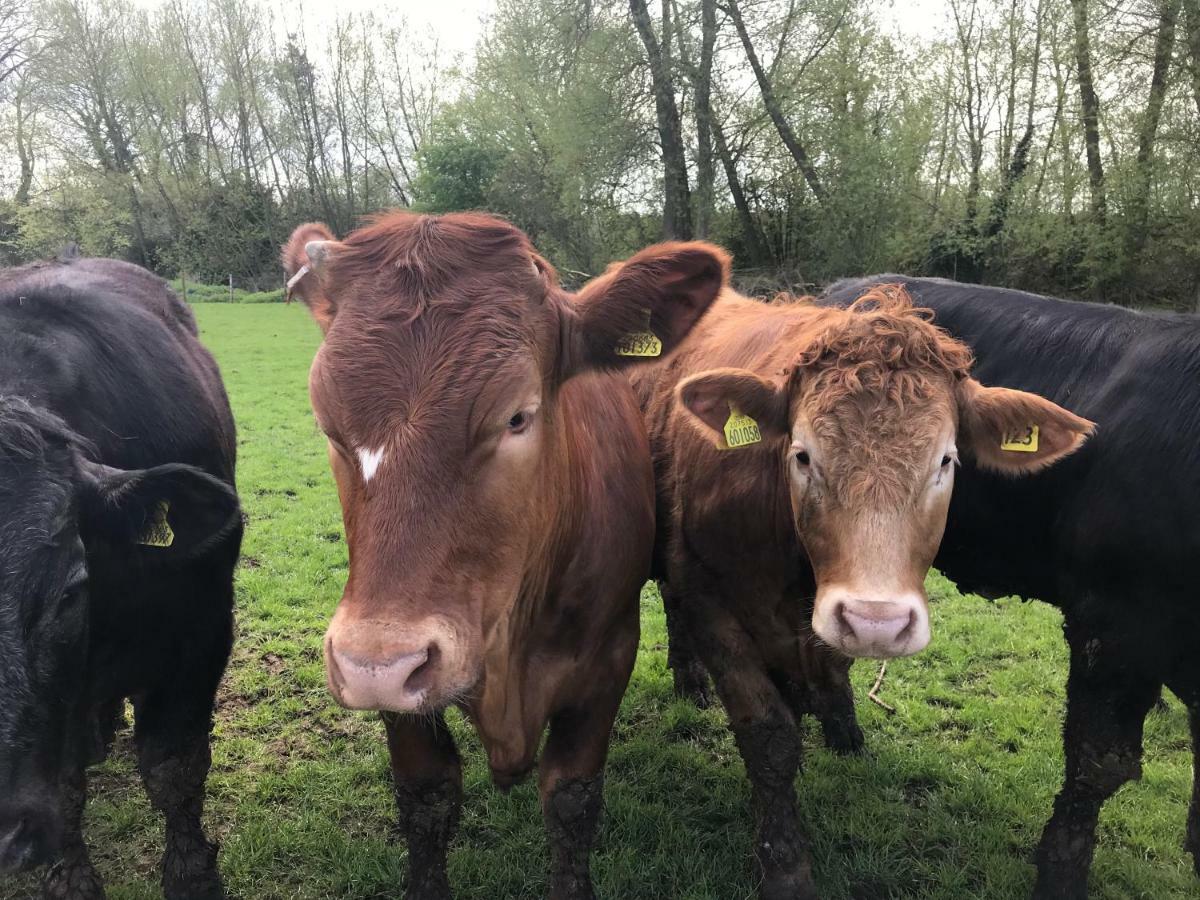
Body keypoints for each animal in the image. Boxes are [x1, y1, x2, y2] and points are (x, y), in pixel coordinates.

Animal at [0, 255, 243, 900]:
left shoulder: (199, 635)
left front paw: (191, 875)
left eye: (68, 591)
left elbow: (174, 768)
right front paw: (72, 881)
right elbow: (65, 790)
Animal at [284, 213, 724, 900]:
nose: (376, 665)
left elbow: (571, 799)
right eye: (330, 428)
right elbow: (427, 798)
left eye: (517, 416)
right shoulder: (390, 675)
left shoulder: (607, 656)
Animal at [633, 285, 1094, 897]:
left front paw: (842, 732)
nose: (876, 621)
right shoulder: (710, 597)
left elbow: (830, 674)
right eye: (802, 454)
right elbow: (768, 735)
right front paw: (785, 864)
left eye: (946, 460)